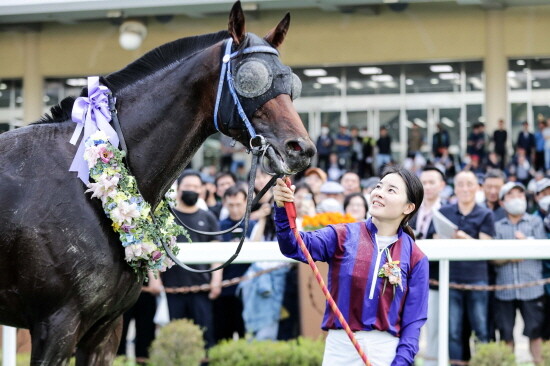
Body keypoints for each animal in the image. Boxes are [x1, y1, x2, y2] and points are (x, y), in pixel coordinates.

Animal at [0, 2, 316, 364]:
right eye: (251, 78)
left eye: (291, 82)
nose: (301, 149)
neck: (83, 187)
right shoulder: (56, 324)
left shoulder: (104, 330)